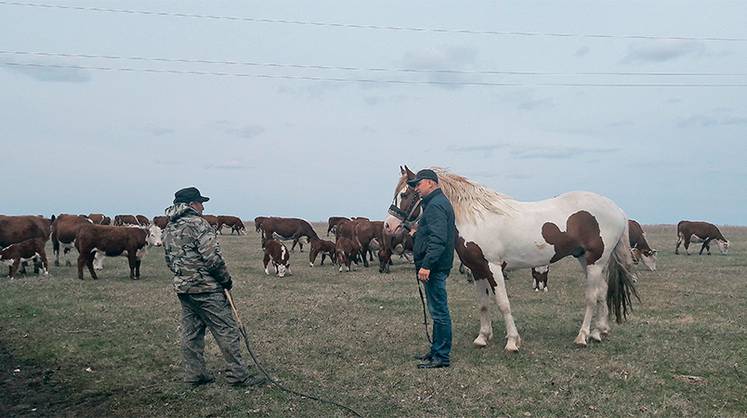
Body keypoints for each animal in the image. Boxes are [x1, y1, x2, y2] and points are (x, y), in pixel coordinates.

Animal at [382, 165, 640, 352]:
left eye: (406, 194)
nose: (388, 226)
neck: (476, 218)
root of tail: (617, 210)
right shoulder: (477, 270)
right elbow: (484, 304)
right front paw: (483, 337)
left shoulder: (494, 268)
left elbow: (503, 303)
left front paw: (512, 341)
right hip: (586, 260)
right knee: (602, 292)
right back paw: (599, 331)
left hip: (595, 261)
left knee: (591, 297)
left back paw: (583, 336)